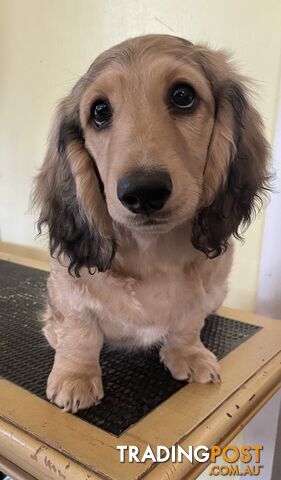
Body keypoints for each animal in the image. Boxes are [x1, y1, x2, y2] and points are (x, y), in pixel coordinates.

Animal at [33, 35, 270, 414]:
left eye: (183, 95)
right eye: (99, 112)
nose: (143, 192)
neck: (152, 253)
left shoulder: (203, 294)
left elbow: (188, 322)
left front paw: (188, 354)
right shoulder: (67, 293)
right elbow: (80, 332)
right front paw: (75, 377)